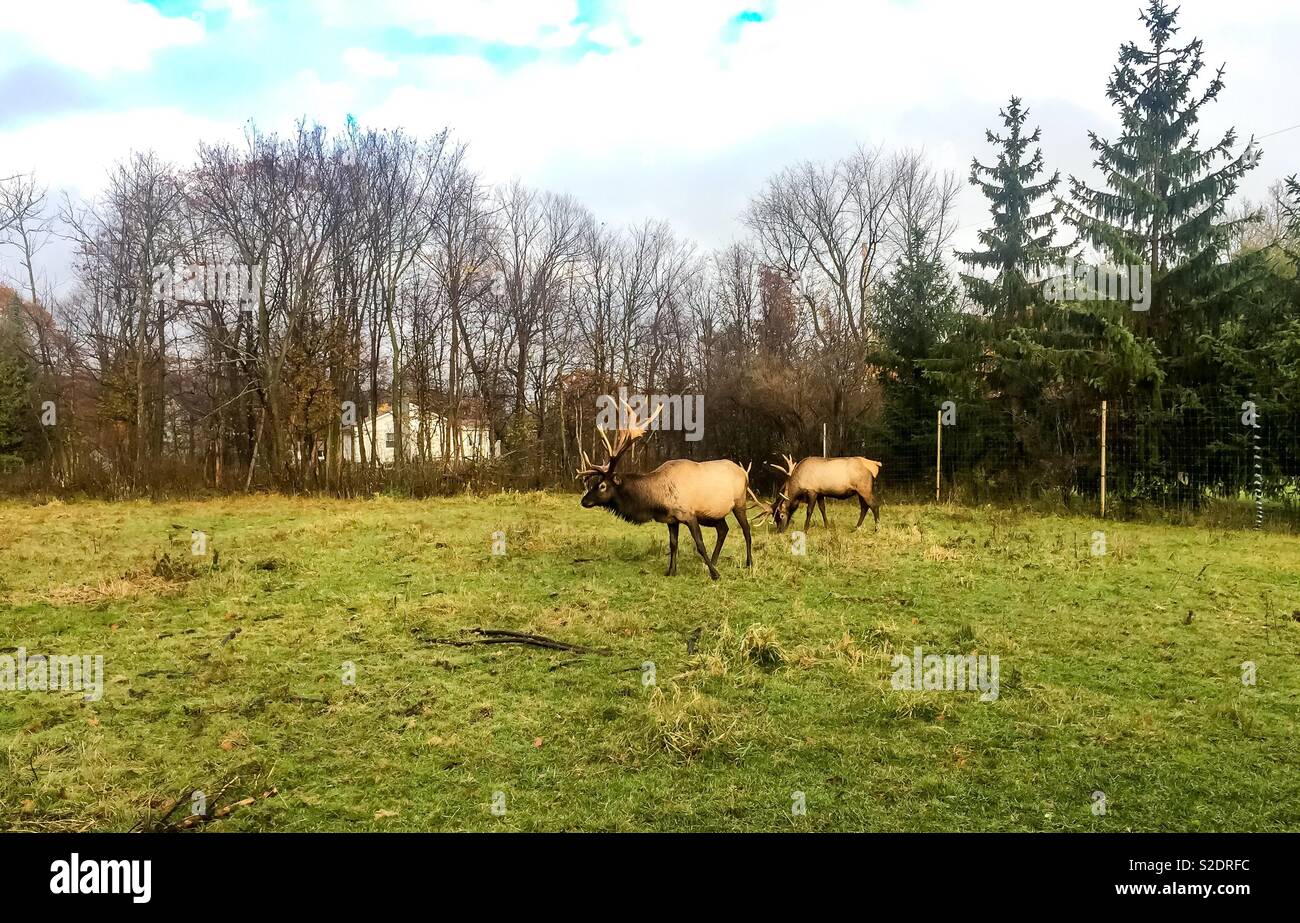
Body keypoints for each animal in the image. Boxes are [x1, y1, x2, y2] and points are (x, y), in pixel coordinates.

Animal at [576, 403, 757, 580]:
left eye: (602, 485)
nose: (584, 501)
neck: (656, 501)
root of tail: (744, 472)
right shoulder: (672, 520)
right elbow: (673, 544)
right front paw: (671, 571)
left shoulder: (689, 514)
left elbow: (700, 544)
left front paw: (715, 574)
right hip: (712, 514)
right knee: (723, 529)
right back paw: (713, 561)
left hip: (740, 501)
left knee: (746, 529)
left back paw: (748, 562)